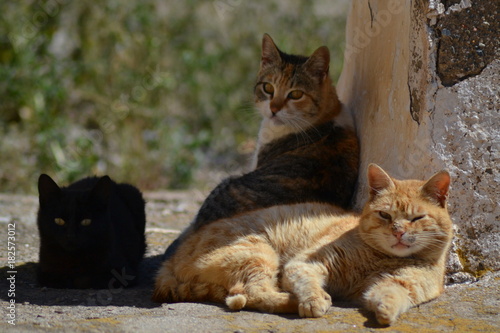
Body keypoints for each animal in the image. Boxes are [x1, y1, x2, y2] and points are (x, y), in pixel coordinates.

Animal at [152, 163, 454, 324]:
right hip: (259, 253)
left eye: (416, 218)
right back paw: (292, 301)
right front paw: (313, 301)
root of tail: (171, 259)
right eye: (385, 215)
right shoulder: (307, 264)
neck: (381, 260)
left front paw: (385, 313)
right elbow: (307, 284)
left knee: (241, 294)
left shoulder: (405, 286)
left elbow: (391, 295)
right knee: (252, 293)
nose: (398, 232)